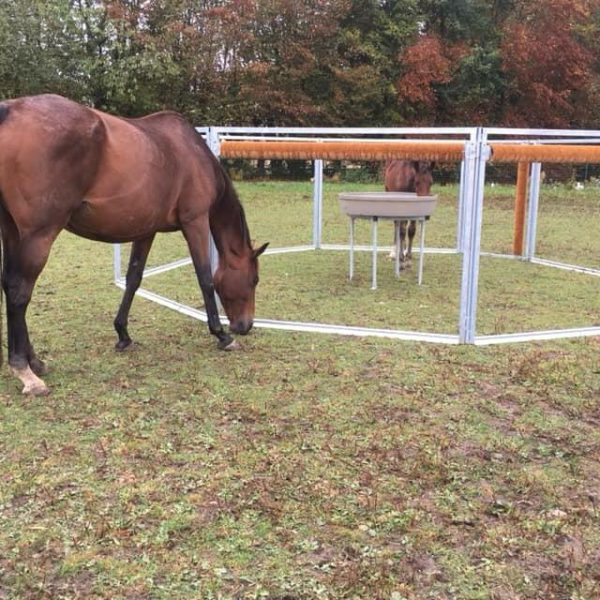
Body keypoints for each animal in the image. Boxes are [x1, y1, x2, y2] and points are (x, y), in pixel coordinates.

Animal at [0, 94, 268, 396]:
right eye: (254, 279)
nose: (245, 325)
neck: (193, 153)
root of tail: (11, 110)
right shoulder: (196, 222)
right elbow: (205, 278)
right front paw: (221, 335)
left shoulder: (145, 231)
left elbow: (134, 279)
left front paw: (123, 334)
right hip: (39, 235)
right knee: (19, 291)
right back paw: (25, 370)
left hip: (12, 232)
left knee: (9, 286)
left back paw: (35, 361)